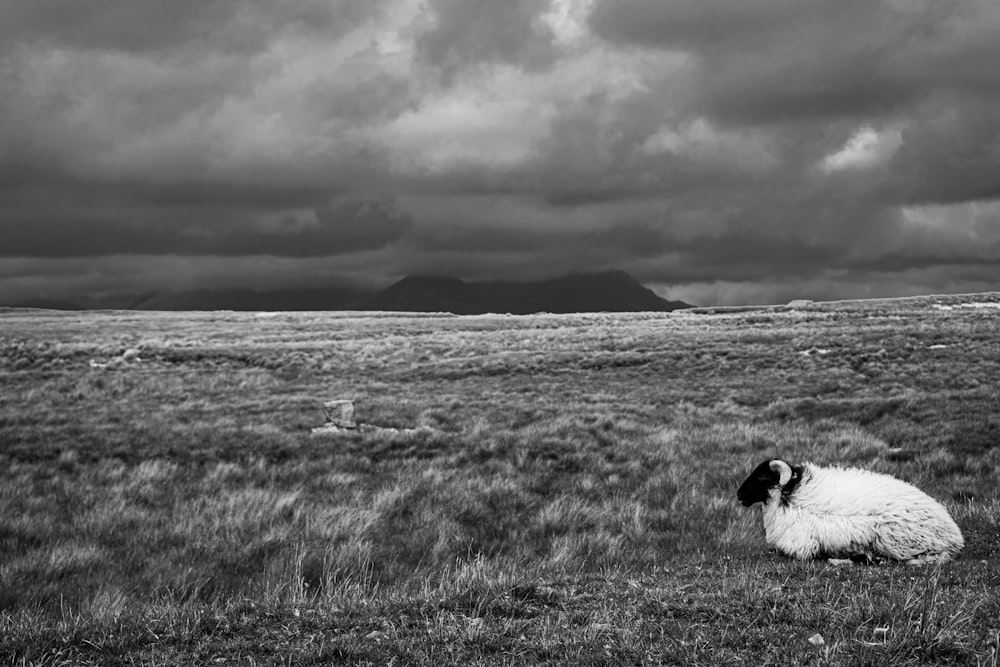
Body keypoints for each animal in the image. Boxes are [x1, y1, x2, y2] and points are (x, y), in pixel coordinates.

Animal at [740, 462, 964, 568]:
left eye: (761, 477)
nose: (738, 494)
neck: (790, 495)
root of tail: (955, 536)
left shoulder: (801, 546)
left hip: (897, 540)